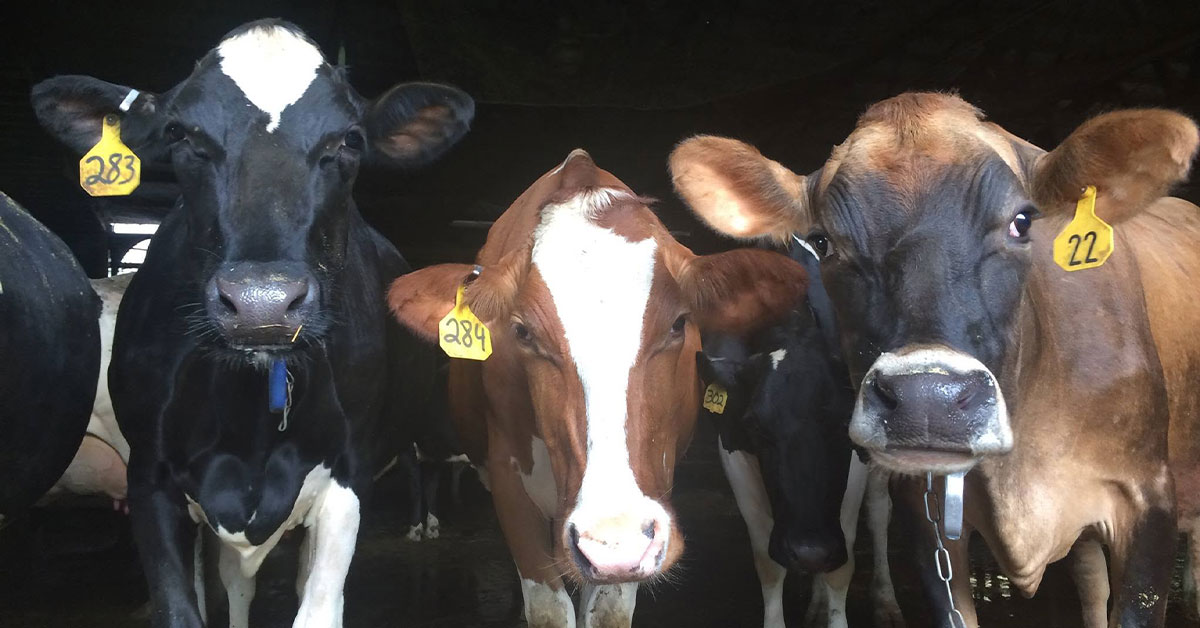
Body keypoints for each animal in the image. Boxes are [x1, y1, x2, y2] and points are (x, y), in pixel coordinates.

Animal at [31, 18, 473, 628]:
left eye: (349, 140)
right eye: (181, 134)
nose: (262, 303)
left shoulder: (347, 480)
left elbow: (318, 608)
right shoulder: (149, 478)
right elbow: (184, 606)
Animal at [387, 148, 807, 628]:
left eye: (679, 323)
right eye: (522, 332)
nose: (614, 542)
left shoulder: (652, 490)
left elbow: (608, 610)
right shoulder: (509, 483)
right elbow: (548, 608)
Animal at [697, 238, 903, 628]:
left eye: (842, 425)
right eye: (755, 426)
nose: (809, 550)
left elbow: (842, 563)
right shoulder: (732, 449)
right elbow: (767, 562)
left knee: (880, 510)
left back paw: (885, 599)